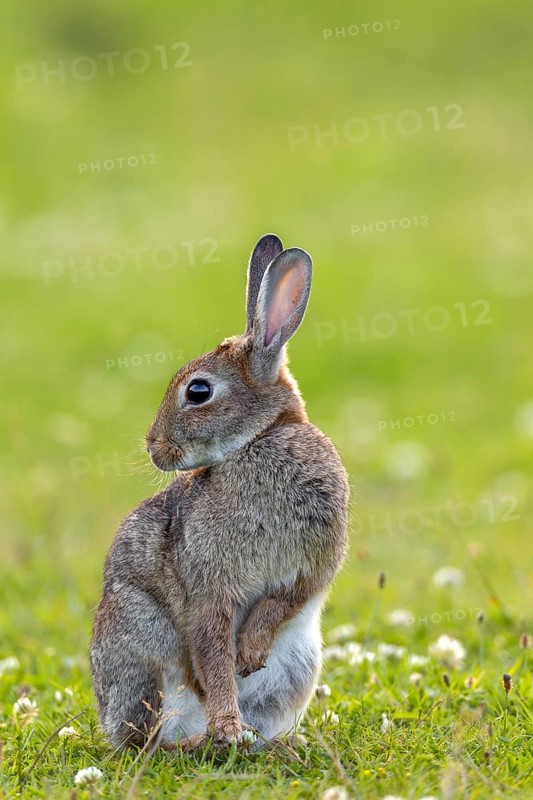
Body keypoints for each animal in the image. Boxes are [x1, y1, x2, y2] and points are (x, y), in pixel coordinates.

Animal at [90, 233, 349, 752]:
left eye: (198, 392)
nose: (154, 447)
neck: (257, 442)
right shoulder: (209, 592)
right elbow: (214, 660)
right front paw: (228, 726)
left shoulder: (312, 565)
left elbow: (280, 603)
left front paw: (249, 653)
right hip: (141, 646)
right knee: (148, 742)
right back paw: (207, 740)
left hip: (297, 668)